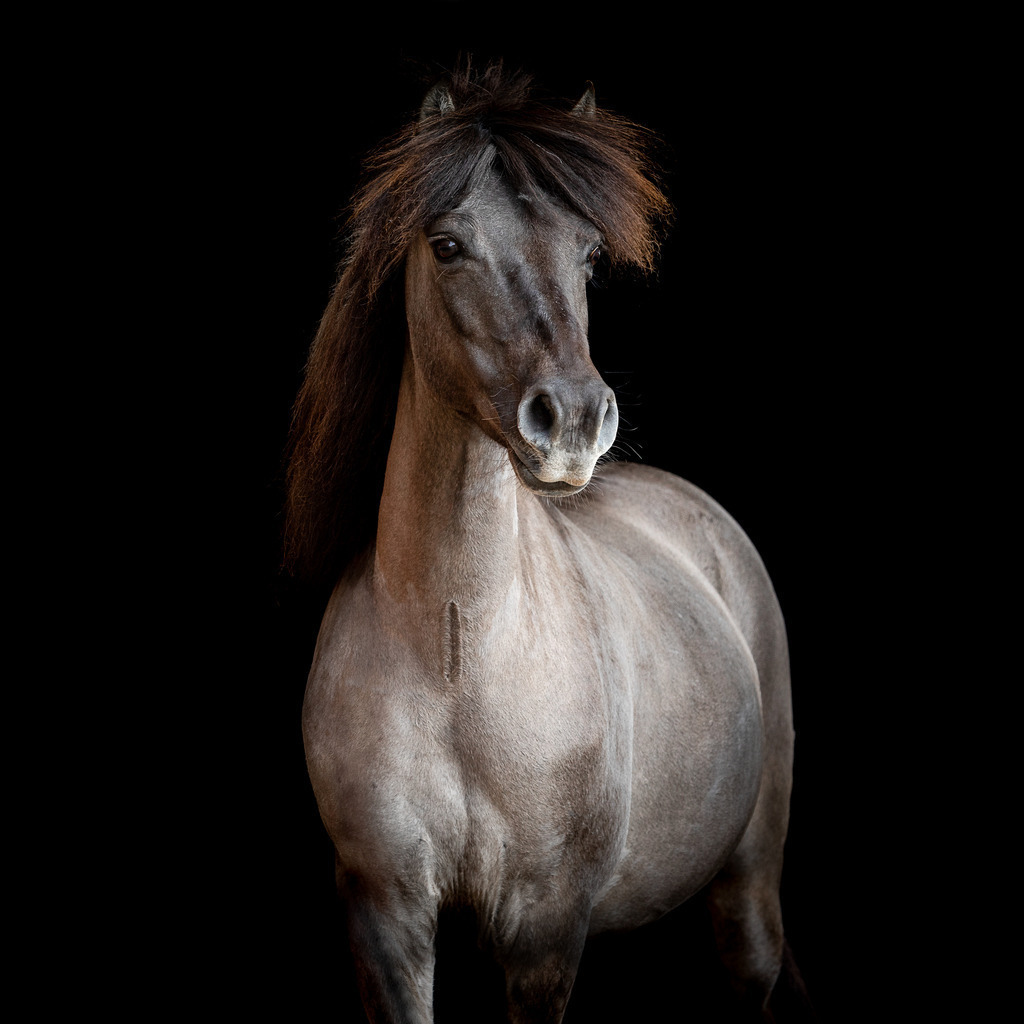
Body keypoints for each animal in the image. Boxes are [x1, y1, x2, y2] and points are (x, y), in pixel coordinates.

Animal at [285, 63, 808, 1023]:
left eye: (590, 255)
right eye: (448, 245)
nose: (572, 422)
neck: (456, 651)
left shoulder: (544, 930)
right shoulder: (386, 918)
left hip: (748, 889)